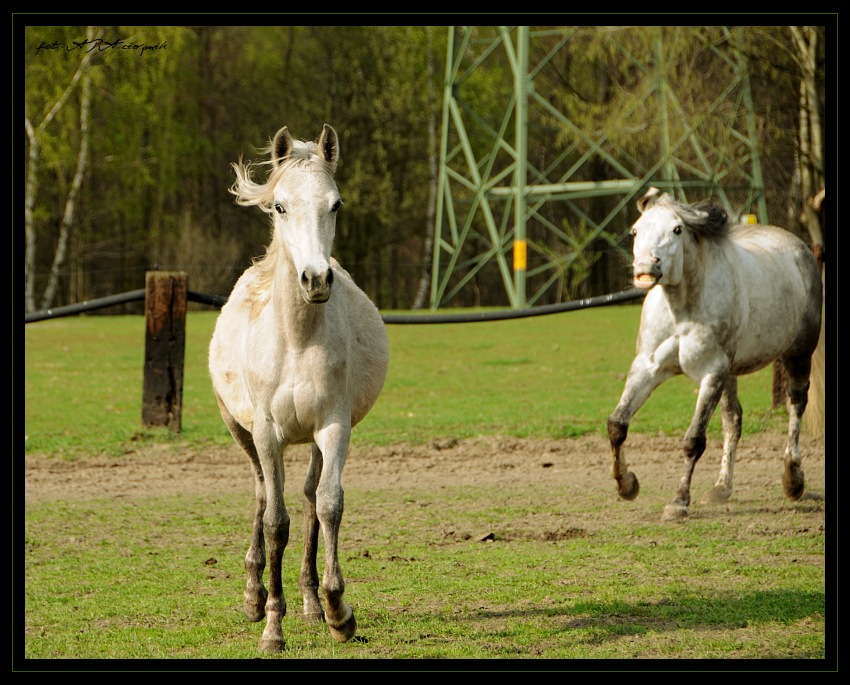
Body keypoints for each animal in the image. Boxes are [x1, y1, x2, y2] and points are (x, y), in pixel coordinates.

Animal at [209, 124, 388, 652]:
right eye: (280, 206)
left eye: (336, 204)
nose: (315, 279)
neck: (297, 338)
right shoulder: (267, 433)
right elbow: (275, 523)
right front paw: (272, 626)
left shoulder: (334, 427)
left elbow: (328, 504)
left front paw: (337, 611)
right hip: (240, 430)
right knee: (261, 493)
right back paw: (253, 594)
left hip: (311, 437)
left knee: (309, 496)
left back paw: (311, 601)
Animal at [608, 187, 820, 520]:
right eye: (635, 230)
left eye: (677, 229)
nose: (645, 268)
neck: (682, 309)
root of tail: (799, 247)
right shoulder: (648, 368)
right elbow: (617, 424)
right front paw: (627, 485)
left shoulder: (711, 372)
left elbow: (694, 439)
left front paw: (678, 502)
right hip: (732, 373)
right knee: (734, 419)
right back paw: (722, 488)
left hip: (797, 353)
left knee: (795, 405)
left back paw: (793, 480)